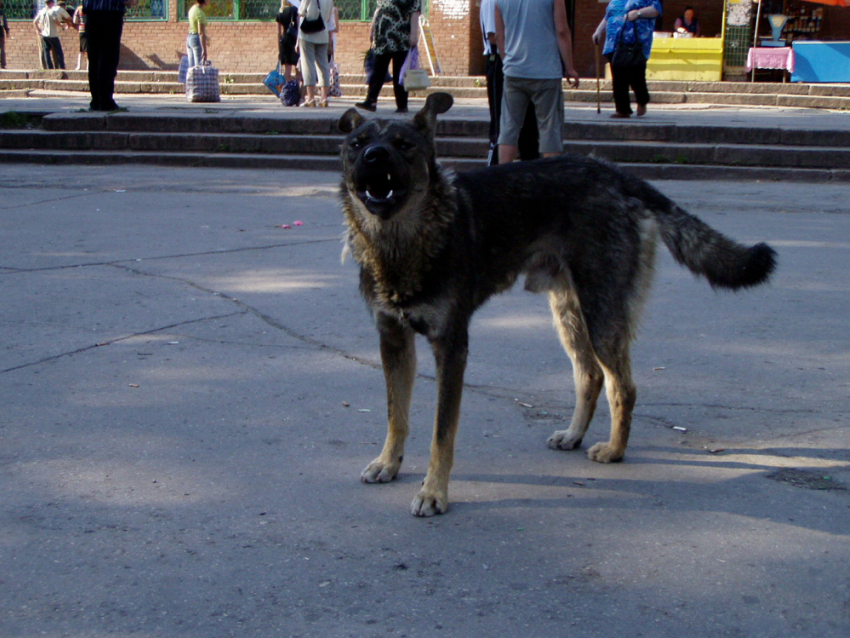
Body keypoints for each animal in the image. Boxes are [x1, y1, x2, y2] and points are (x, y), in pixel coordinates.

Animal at [336, 92, 776, 516]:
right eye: (357, 144)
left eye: (403, 144)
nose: (374, 156)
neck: (401, 243)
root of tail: (615, 173)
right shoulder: (393, 340)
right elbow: (396, 414)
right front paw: (389, 463)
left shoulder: (451, 347)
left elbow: (441, 434)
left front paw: (433, 492)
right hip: (569, 315)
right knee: (590, 376)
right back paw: (575, 434)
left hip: (602, 316)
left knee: (622, 386)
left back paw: (614, 450)